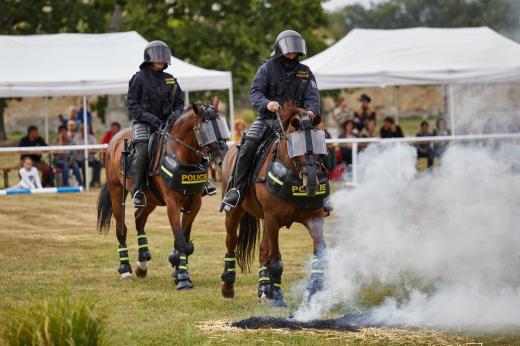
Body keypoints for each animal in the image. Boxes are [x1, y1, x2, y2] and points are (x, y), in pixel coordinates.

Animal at [97, 97, 228, 290]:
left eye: (221, 124)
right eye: (205, 128)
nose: (222, 158)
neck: (181, 154)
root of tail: (114, 141)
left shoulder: (194, 203)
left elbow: (185, 241)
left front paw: (178, 269)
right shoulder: (172, 204)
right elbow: (181, 241)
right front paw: (182, 279)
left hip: (150, 199)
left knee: (139, 219)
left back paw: (142, 263)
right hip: (116, 191)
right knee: (122, 229)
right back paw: (125, 269)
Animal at [220, 102, 330, 306]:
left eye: (321, 141)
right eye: (296, 145)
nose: (312, 183)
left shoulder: (314, 218)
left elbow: (320, 253)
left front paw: (315, 291)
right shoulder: (273, 219)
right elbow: (276, 260)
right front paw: (277, 296)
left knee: (262, 250)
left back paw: (264, 289)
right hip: (234, 213)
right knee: (232, 242)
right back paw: (228, 286)